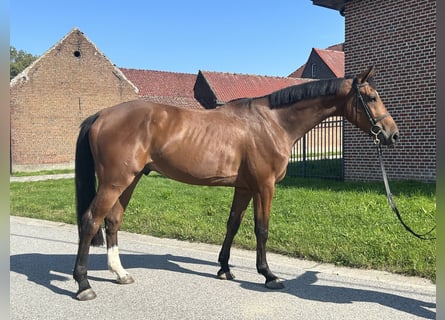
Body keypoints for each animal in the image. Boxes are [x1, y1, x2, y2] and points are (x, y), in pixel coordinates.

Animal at [73, 65, 398, 300]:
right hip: (114, 182)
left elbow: (232, 224)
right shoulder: (264, 186)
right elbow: (261, 229)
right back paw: (83, 284)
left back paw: (120, 273)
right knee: (91, 221)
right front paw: (268, 275)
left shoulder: (244, 187)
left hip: (129, 181)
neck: (273, 123)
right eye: (371, 98)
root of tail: (101, 114)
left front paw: (224, 269)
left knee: (112, 221)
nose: (392, 135)